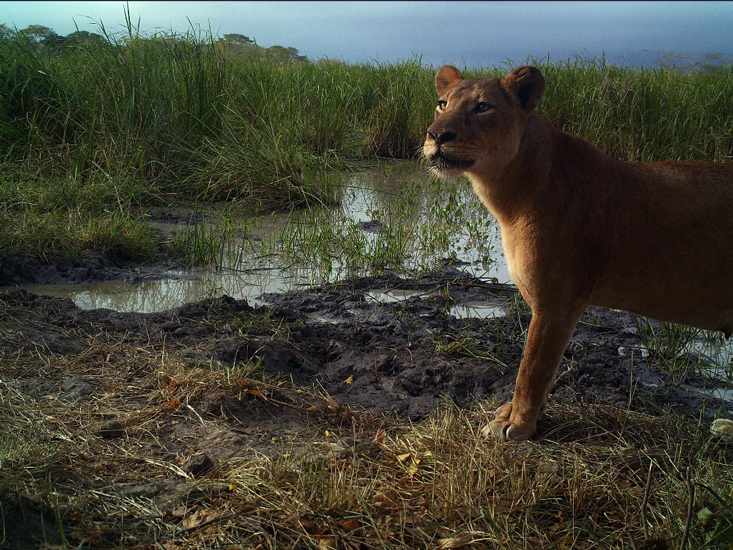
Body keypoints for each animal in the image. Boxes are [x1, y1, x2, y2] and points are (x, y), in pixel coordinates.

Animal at [423, 64, 733, 441]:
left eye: (482, 107)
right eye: (442, 104)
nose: (436, 135)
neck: (509, 192)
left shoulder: (557, 301)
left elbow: (532, 368)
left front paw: (517, 425)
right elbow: (547, 369)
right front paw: (519, 416)